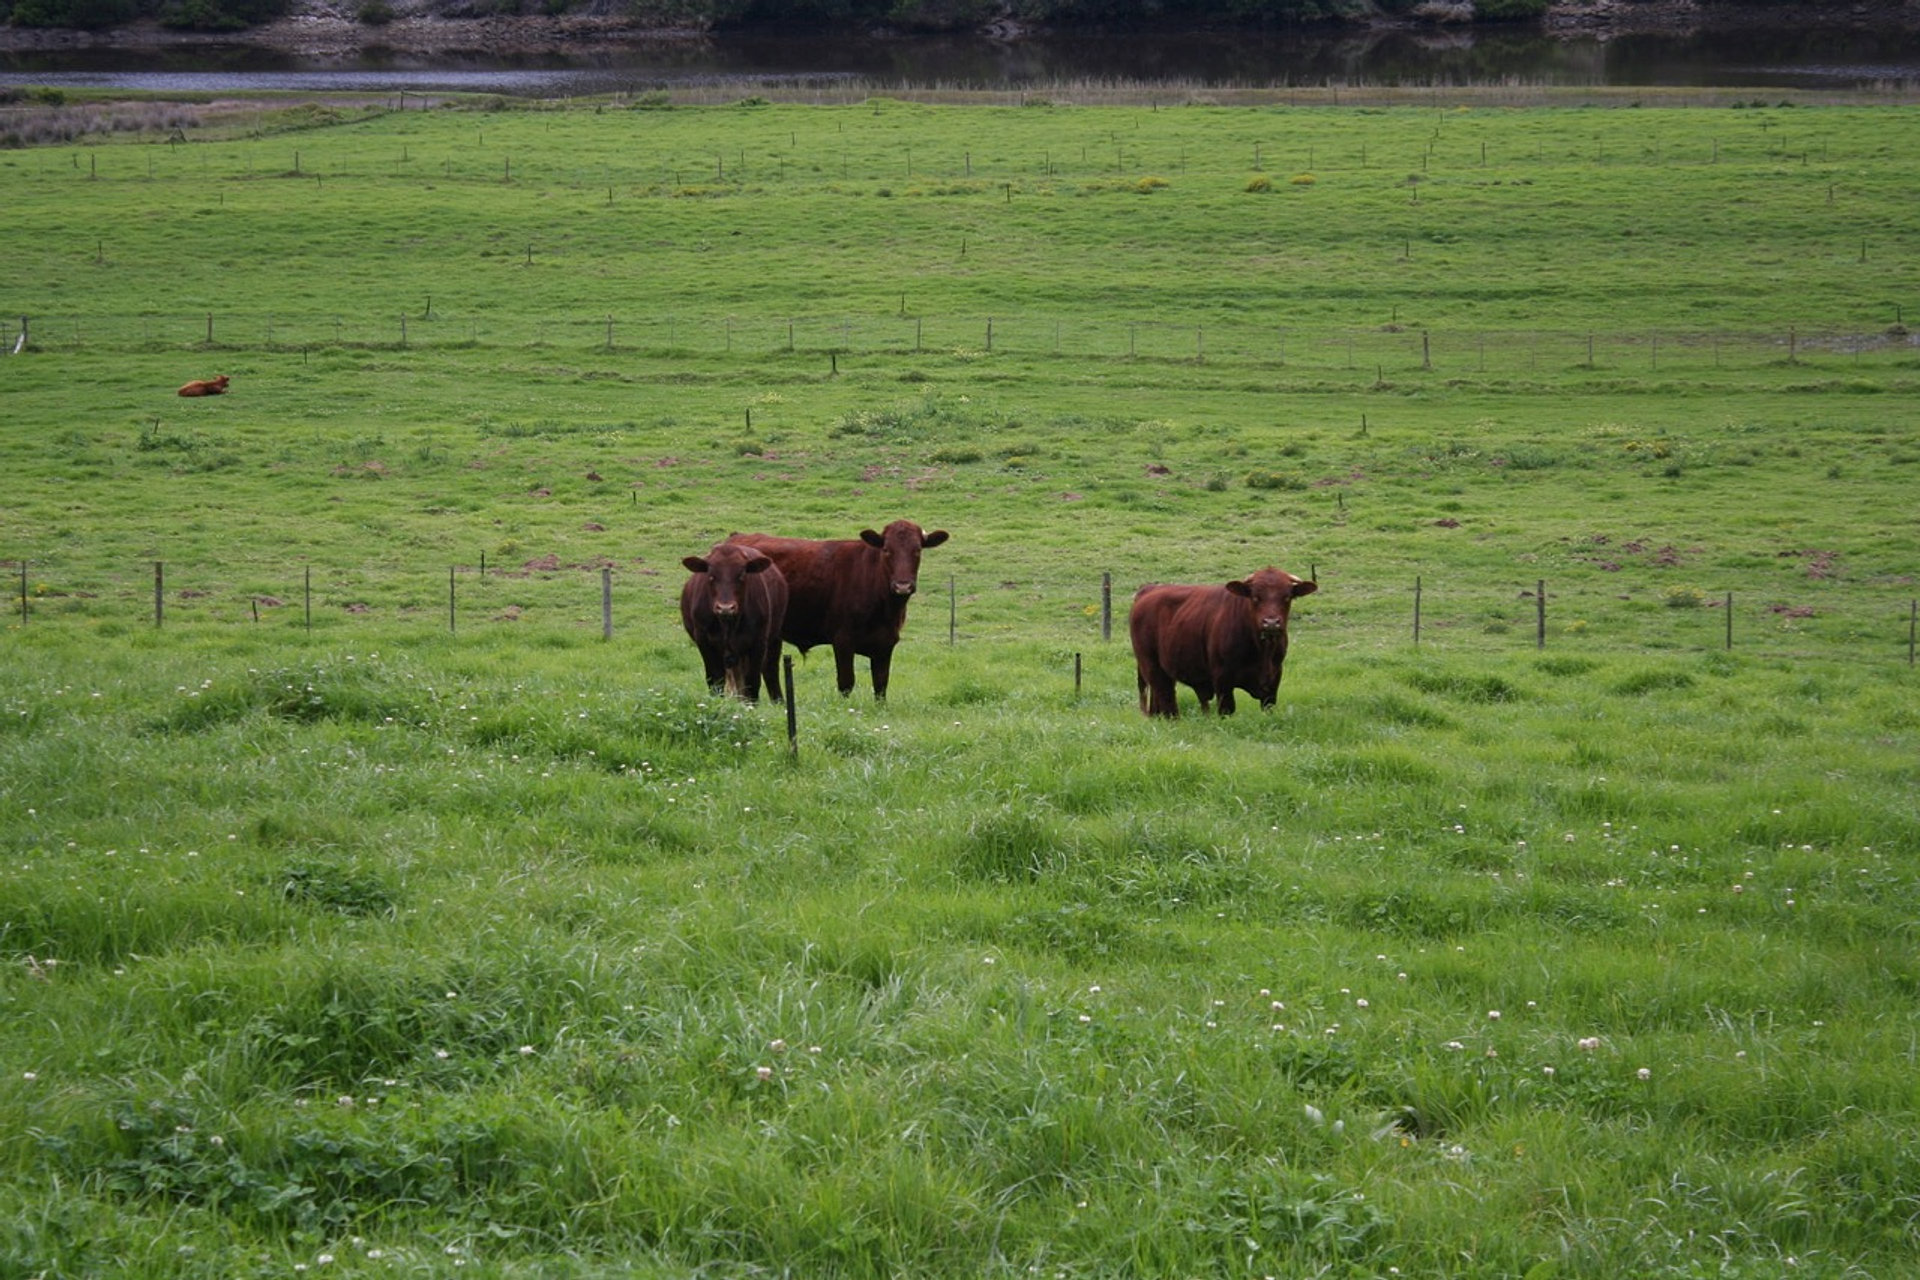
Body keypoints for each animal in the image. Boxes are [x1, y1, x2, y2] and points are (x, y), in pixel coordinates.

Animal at [679, 541, 789, 704]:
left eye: (741, 575)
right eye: (711, 576)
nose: (725, 608)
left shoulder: (758, 642)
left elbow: (752, 680)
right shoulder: (704, 642)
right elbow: (715, 680)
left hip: (773, 638)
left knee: (768, 670)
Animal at [730, 519, 950, 700]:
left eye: (917, 550)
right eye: (887, 550)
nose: (902, 586)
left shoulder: (886, 644)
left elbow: (881, 685)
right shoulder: (843, 640)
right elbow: (846, 682)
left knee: (768, 668)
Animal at [1130, 566, 1318, 718]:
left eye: (1287, 597)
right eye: (1255, 597)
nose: (1271, 622)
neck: (1262, 651)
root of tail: (1149, 589)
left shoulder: (1274, 677)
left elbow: (1268, 707)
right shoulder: (1222, 678)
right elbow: (1227, 710)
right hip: (1151, 665)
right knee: (1166, 698)